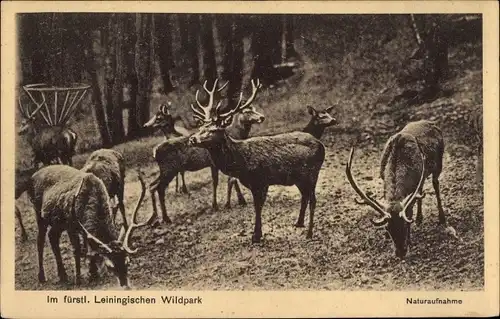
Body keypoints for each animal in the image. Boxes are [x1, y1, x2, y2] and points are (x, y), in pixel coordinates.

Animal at [188, 79, 324, 244]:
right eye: (201, 127)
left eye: (214, 129)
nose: (192, 139)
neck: (241, 162)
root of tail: (321, 145)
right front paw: (256, 234)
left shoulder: (261, 180)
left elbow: (257, 207)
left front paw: (256, 236)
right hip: (299, 178)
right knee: (305, 196)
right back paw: (299, 223)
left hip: (312, 173)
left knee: (313, 200)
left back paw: (309, 233)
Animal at [346, 121, 456, 258]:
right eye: (388, 228)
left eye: (403, 225)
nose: (400, 252)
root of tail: (431, 123)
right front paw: (387, 237)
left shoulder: (412, 190)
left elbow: (409, 213)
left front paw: (409, 241)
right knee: (421, 190)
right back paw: (419, 219)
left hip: (439, 163)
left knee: (435, 184)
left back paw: (442, 219)